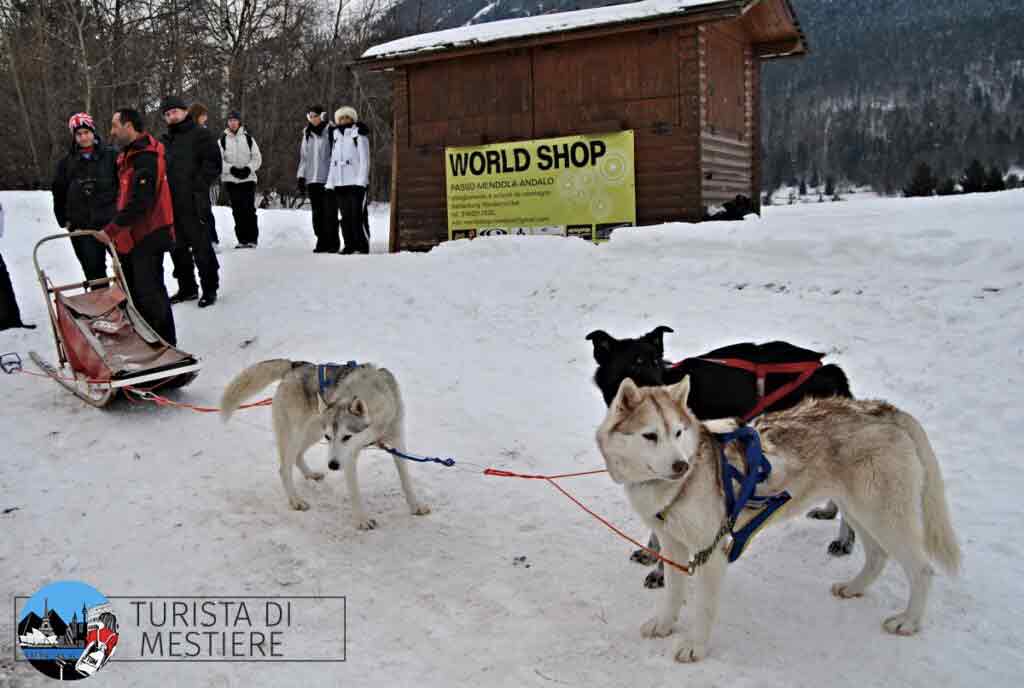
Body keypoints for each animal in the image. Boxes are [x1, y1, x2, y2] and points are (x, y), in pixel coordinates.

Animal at [222, 360, 430, 528]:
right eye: (330, 437)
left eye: (347, 437)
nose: (333, 465)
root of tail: (295, 365)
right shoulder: (348, 456)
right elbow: (355, 492)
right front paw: (362, 520)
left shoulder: (397, 443)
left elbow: (406, 481)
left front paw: (416, 506)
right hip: (297, 435)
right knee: (284, 469)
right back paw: (296, 500)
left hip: (313, 433)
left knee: (298, 455)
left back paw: (310, 474)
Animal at [585, 325, 856, 589]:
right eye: (636, 362)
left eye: (656, 361)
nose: (661, 388)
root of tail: (828, 369)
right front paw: (652, 552)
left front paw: (661, 570)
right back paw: (831, 513)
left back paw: (845, 539)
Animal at [593, 378, 958, 663]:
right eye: (650, 435)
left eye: (678, 432)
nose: (681, 465)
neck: (679, 484)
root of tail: (884, 409)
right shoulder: (673, 545)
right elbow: (673, 592)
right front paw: (665, 625)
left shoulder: (711, 552)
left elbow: (703, 608)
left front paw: (695, 646)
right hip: (860, 512)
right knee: (878, 556)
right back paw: (854, 587)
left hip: (885, 517)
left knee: (922, 570)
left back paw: (908, 621)